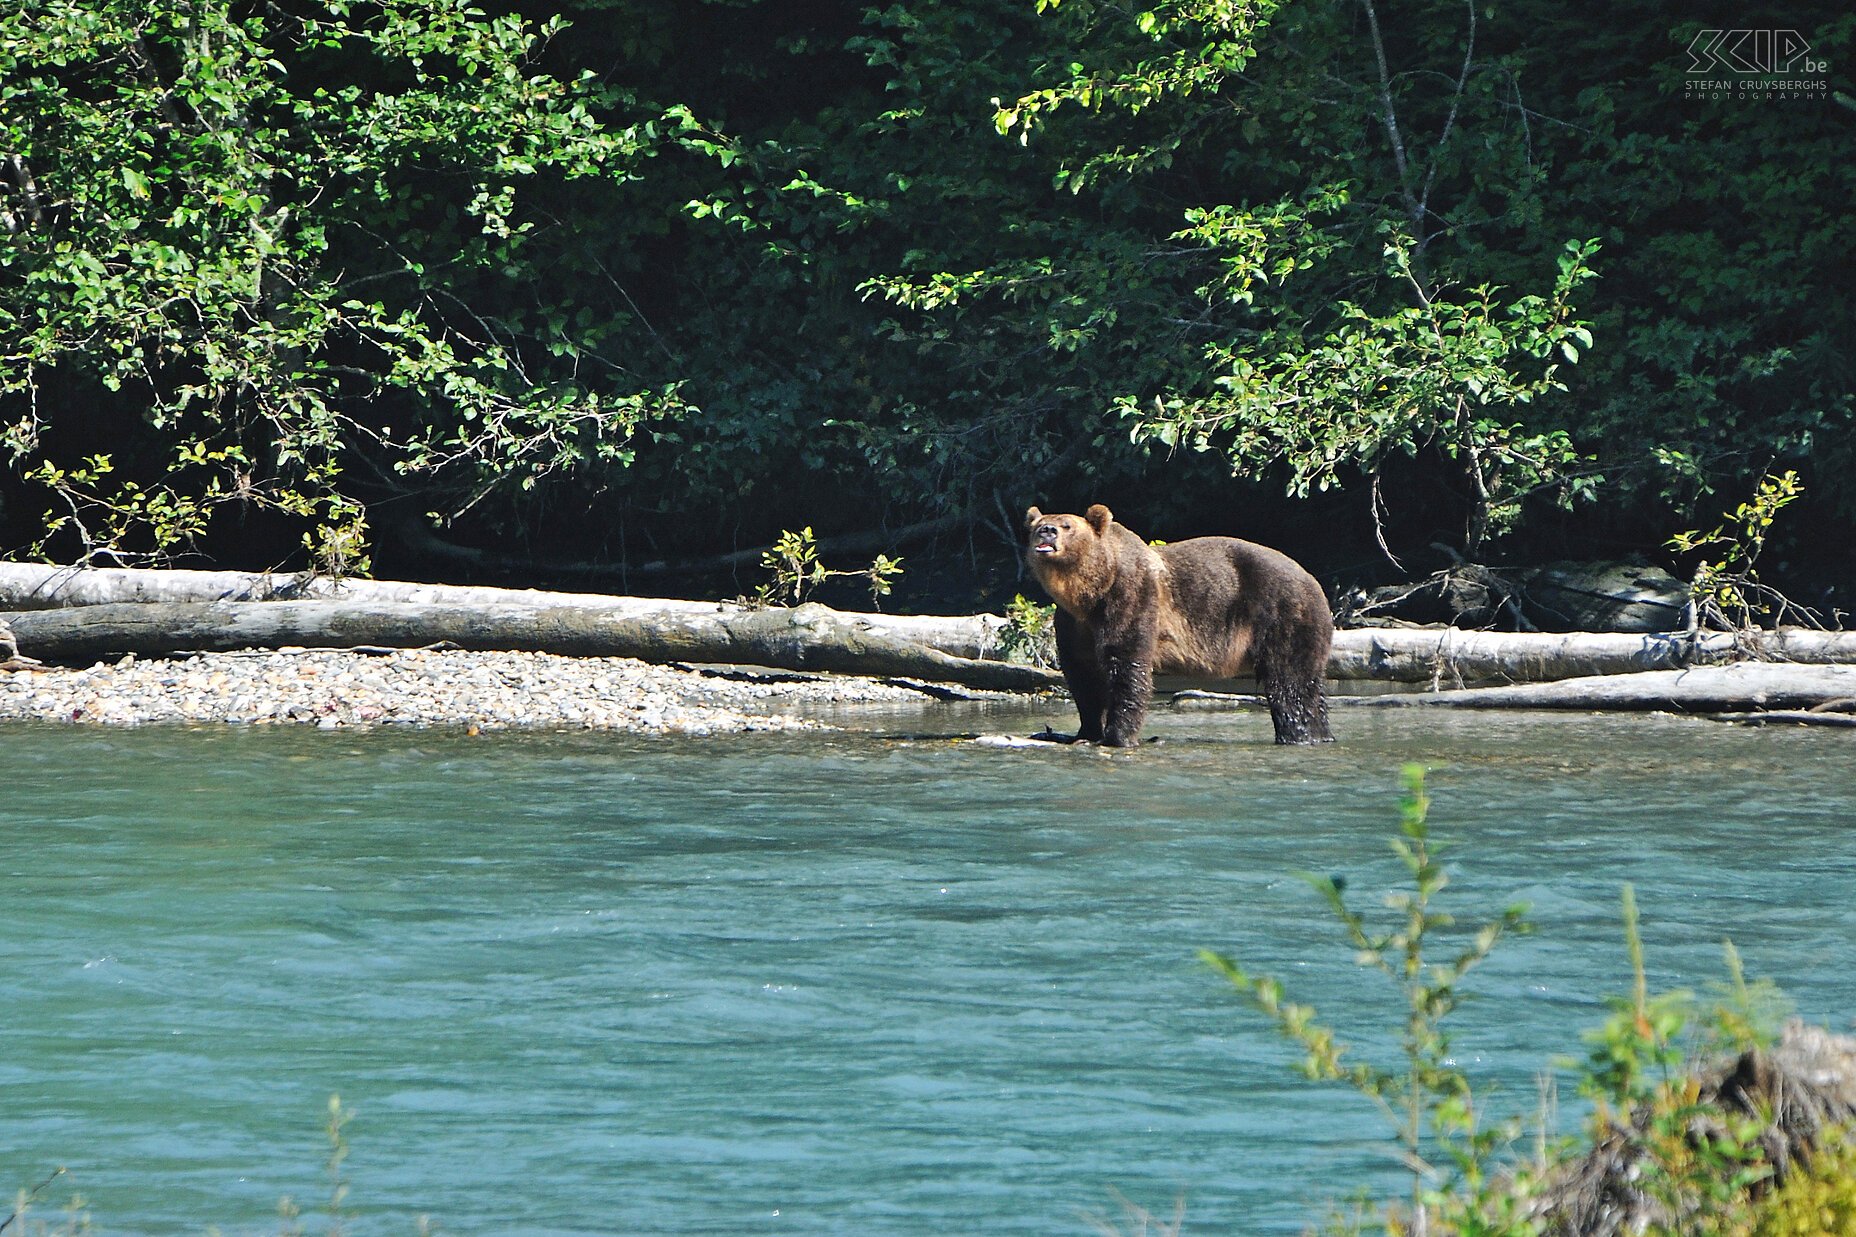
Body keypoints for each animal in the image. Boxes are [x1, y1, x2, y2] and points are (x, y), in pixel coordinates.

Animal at [1031, 501, 1336, 742]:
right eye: (1037, 524)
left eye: (1067, 525)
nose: (1048, 531)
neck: (1091, 593)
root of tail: (1316, 583)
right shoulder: (1074, 623)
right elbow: (1083, 674)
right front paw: (1086, 732)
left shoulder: (1131, 597)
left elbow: (1127, 664)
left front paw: (1118, 735)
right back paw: (1321, 734)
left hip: (1284, 614)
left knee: (1290, 684)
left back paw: (1299, 734)